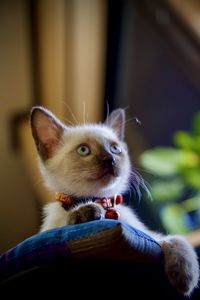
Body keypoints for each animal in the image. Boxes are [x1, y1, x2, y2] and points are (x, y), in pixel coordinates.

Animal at [30, 105, 199, 296]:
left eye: (115, 149)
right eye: (83, 150)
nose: (109, 160)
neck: (103, 202)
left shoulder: (150, 236)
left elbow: (177, 240)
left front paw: (185, 278)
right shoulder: (49, 230)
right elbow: (68, 219)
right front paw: (87, 210)